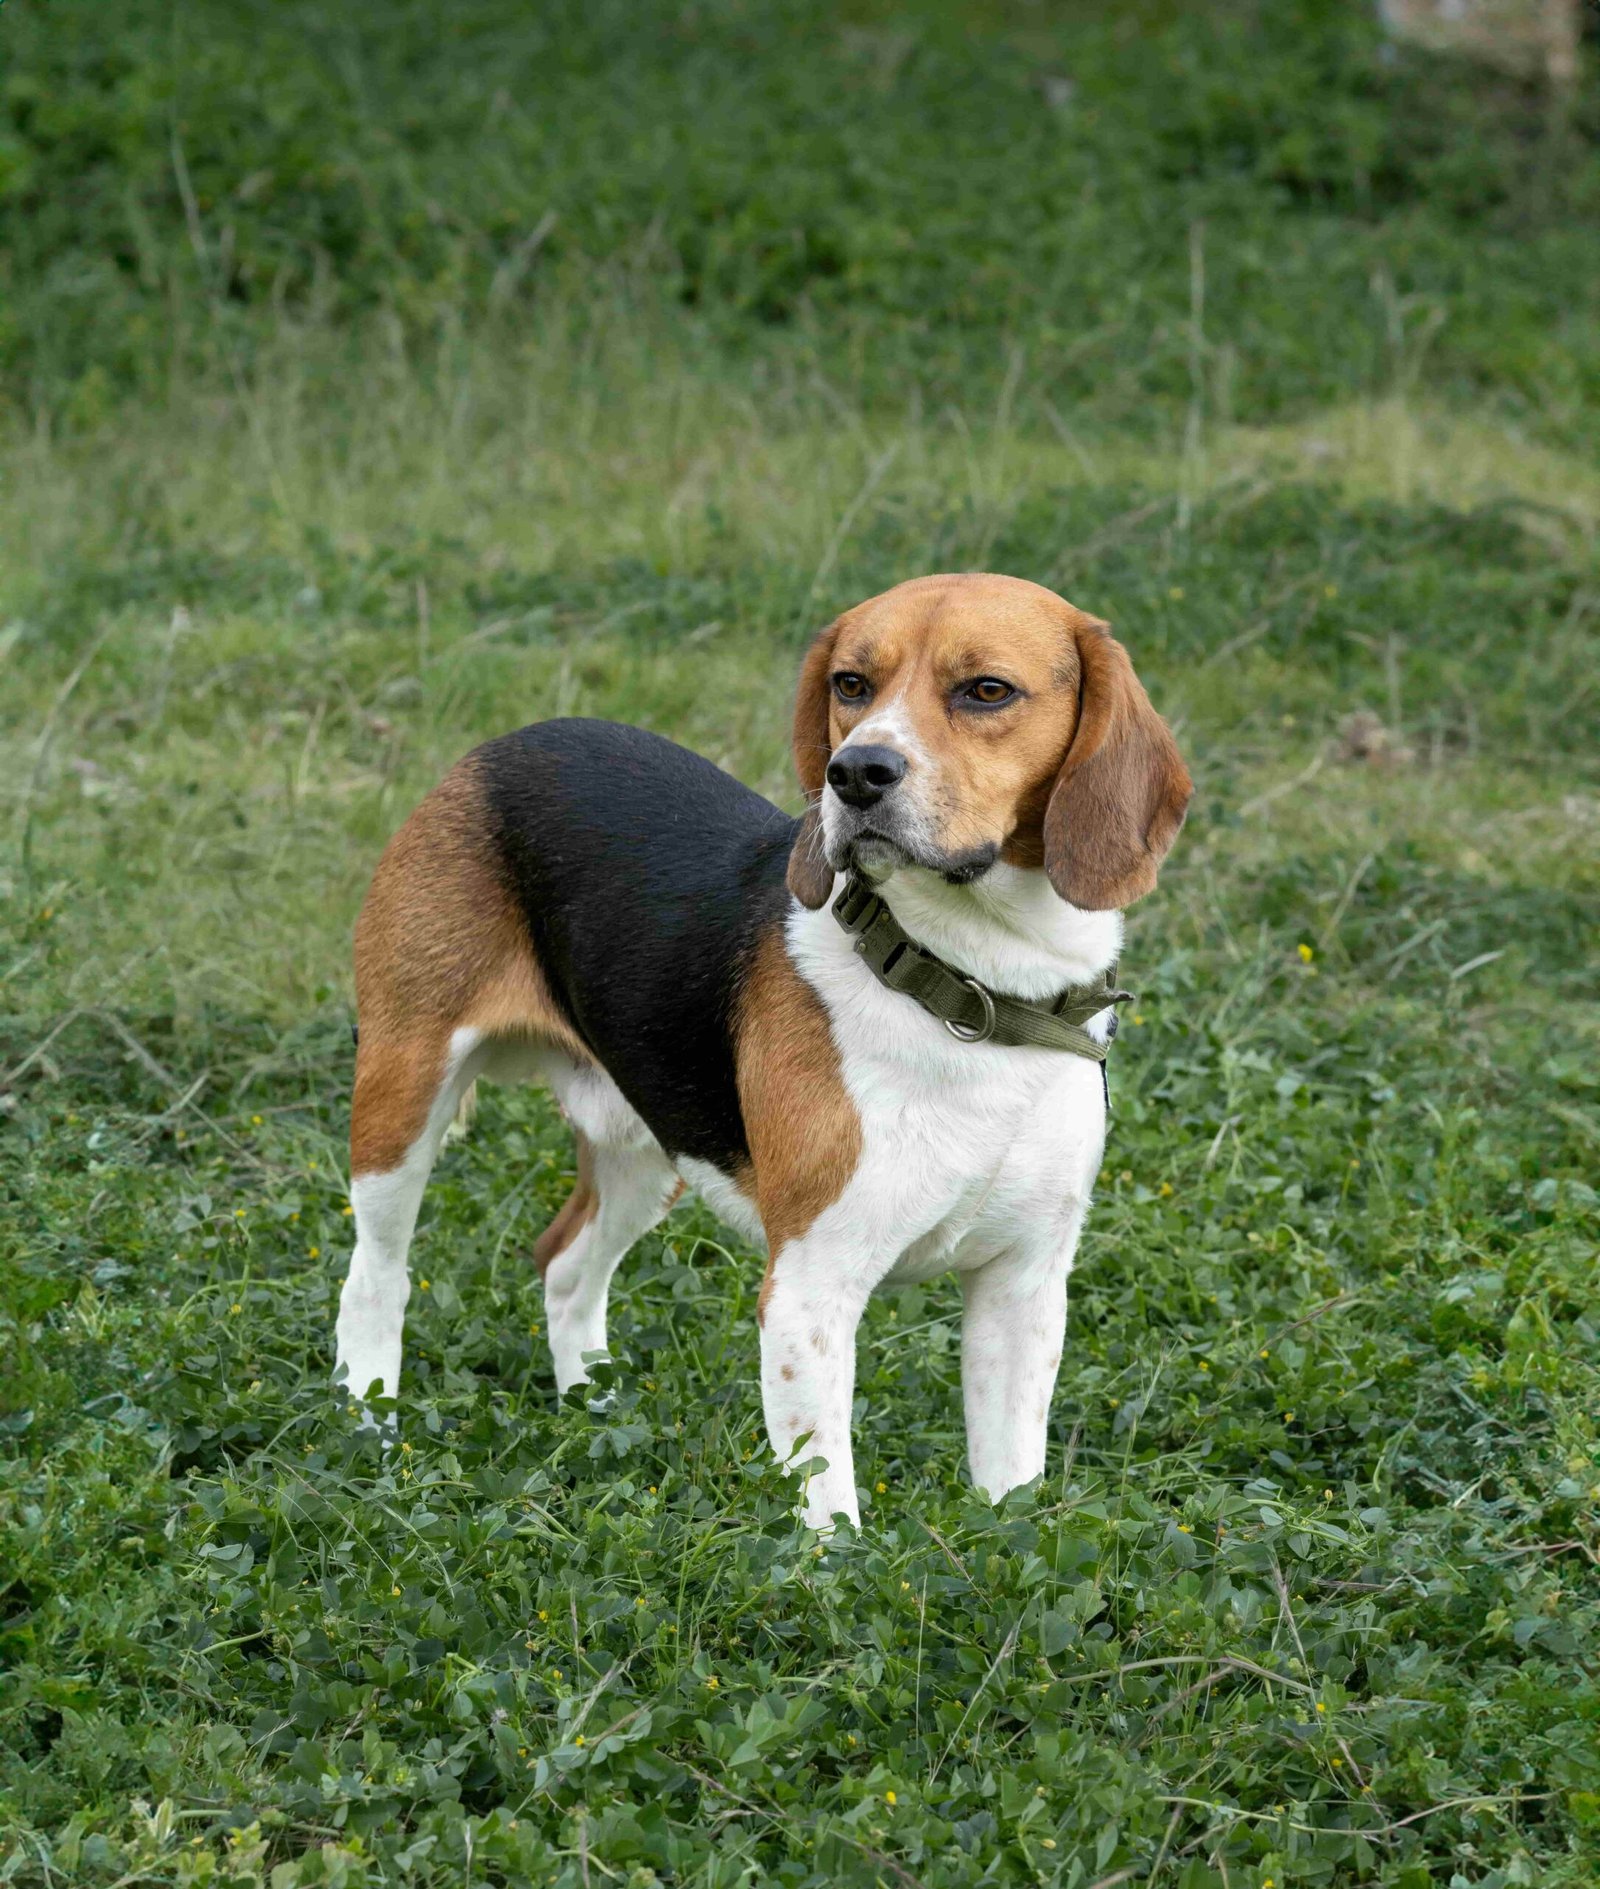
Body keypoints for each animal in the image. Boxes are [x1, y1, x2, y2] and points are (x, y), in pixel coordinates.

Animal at [334, 566, 1186, 1526]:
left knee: (565, 1266)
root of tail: (506, 744)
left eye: (987, 690)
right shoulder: (811, 1291)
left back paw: (598, 1411)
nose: (855, 774)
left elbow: (1008, 1486)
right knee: (375, 1276)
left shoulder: (1025, 1285)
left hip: (649, 1143)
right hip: (404, 1096)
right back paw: (371, 1423)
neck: (974, 991)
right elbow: (830, 1510)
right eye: (851, 684)